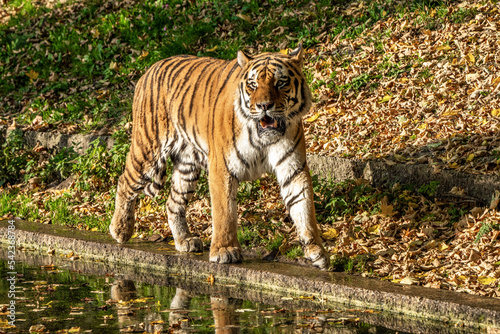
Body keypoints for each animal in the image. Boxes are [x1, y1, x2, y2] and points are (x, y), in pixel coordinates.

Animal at [109, 43, 328, 268]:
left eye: (281, 83)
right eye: (253, 84)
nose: (264, 106)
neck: (263, 138)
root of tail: (150, 68)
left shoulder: (293, 168)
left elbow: (304, 208)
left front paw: (317, 252)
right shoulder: (222, 167)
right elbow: (224, 212)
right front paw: (224, 250)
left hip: (187, 165)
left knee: (172, 203)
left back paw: (185, 240)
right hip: (148, 149)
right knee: (124, 181)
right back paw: (120, 230)